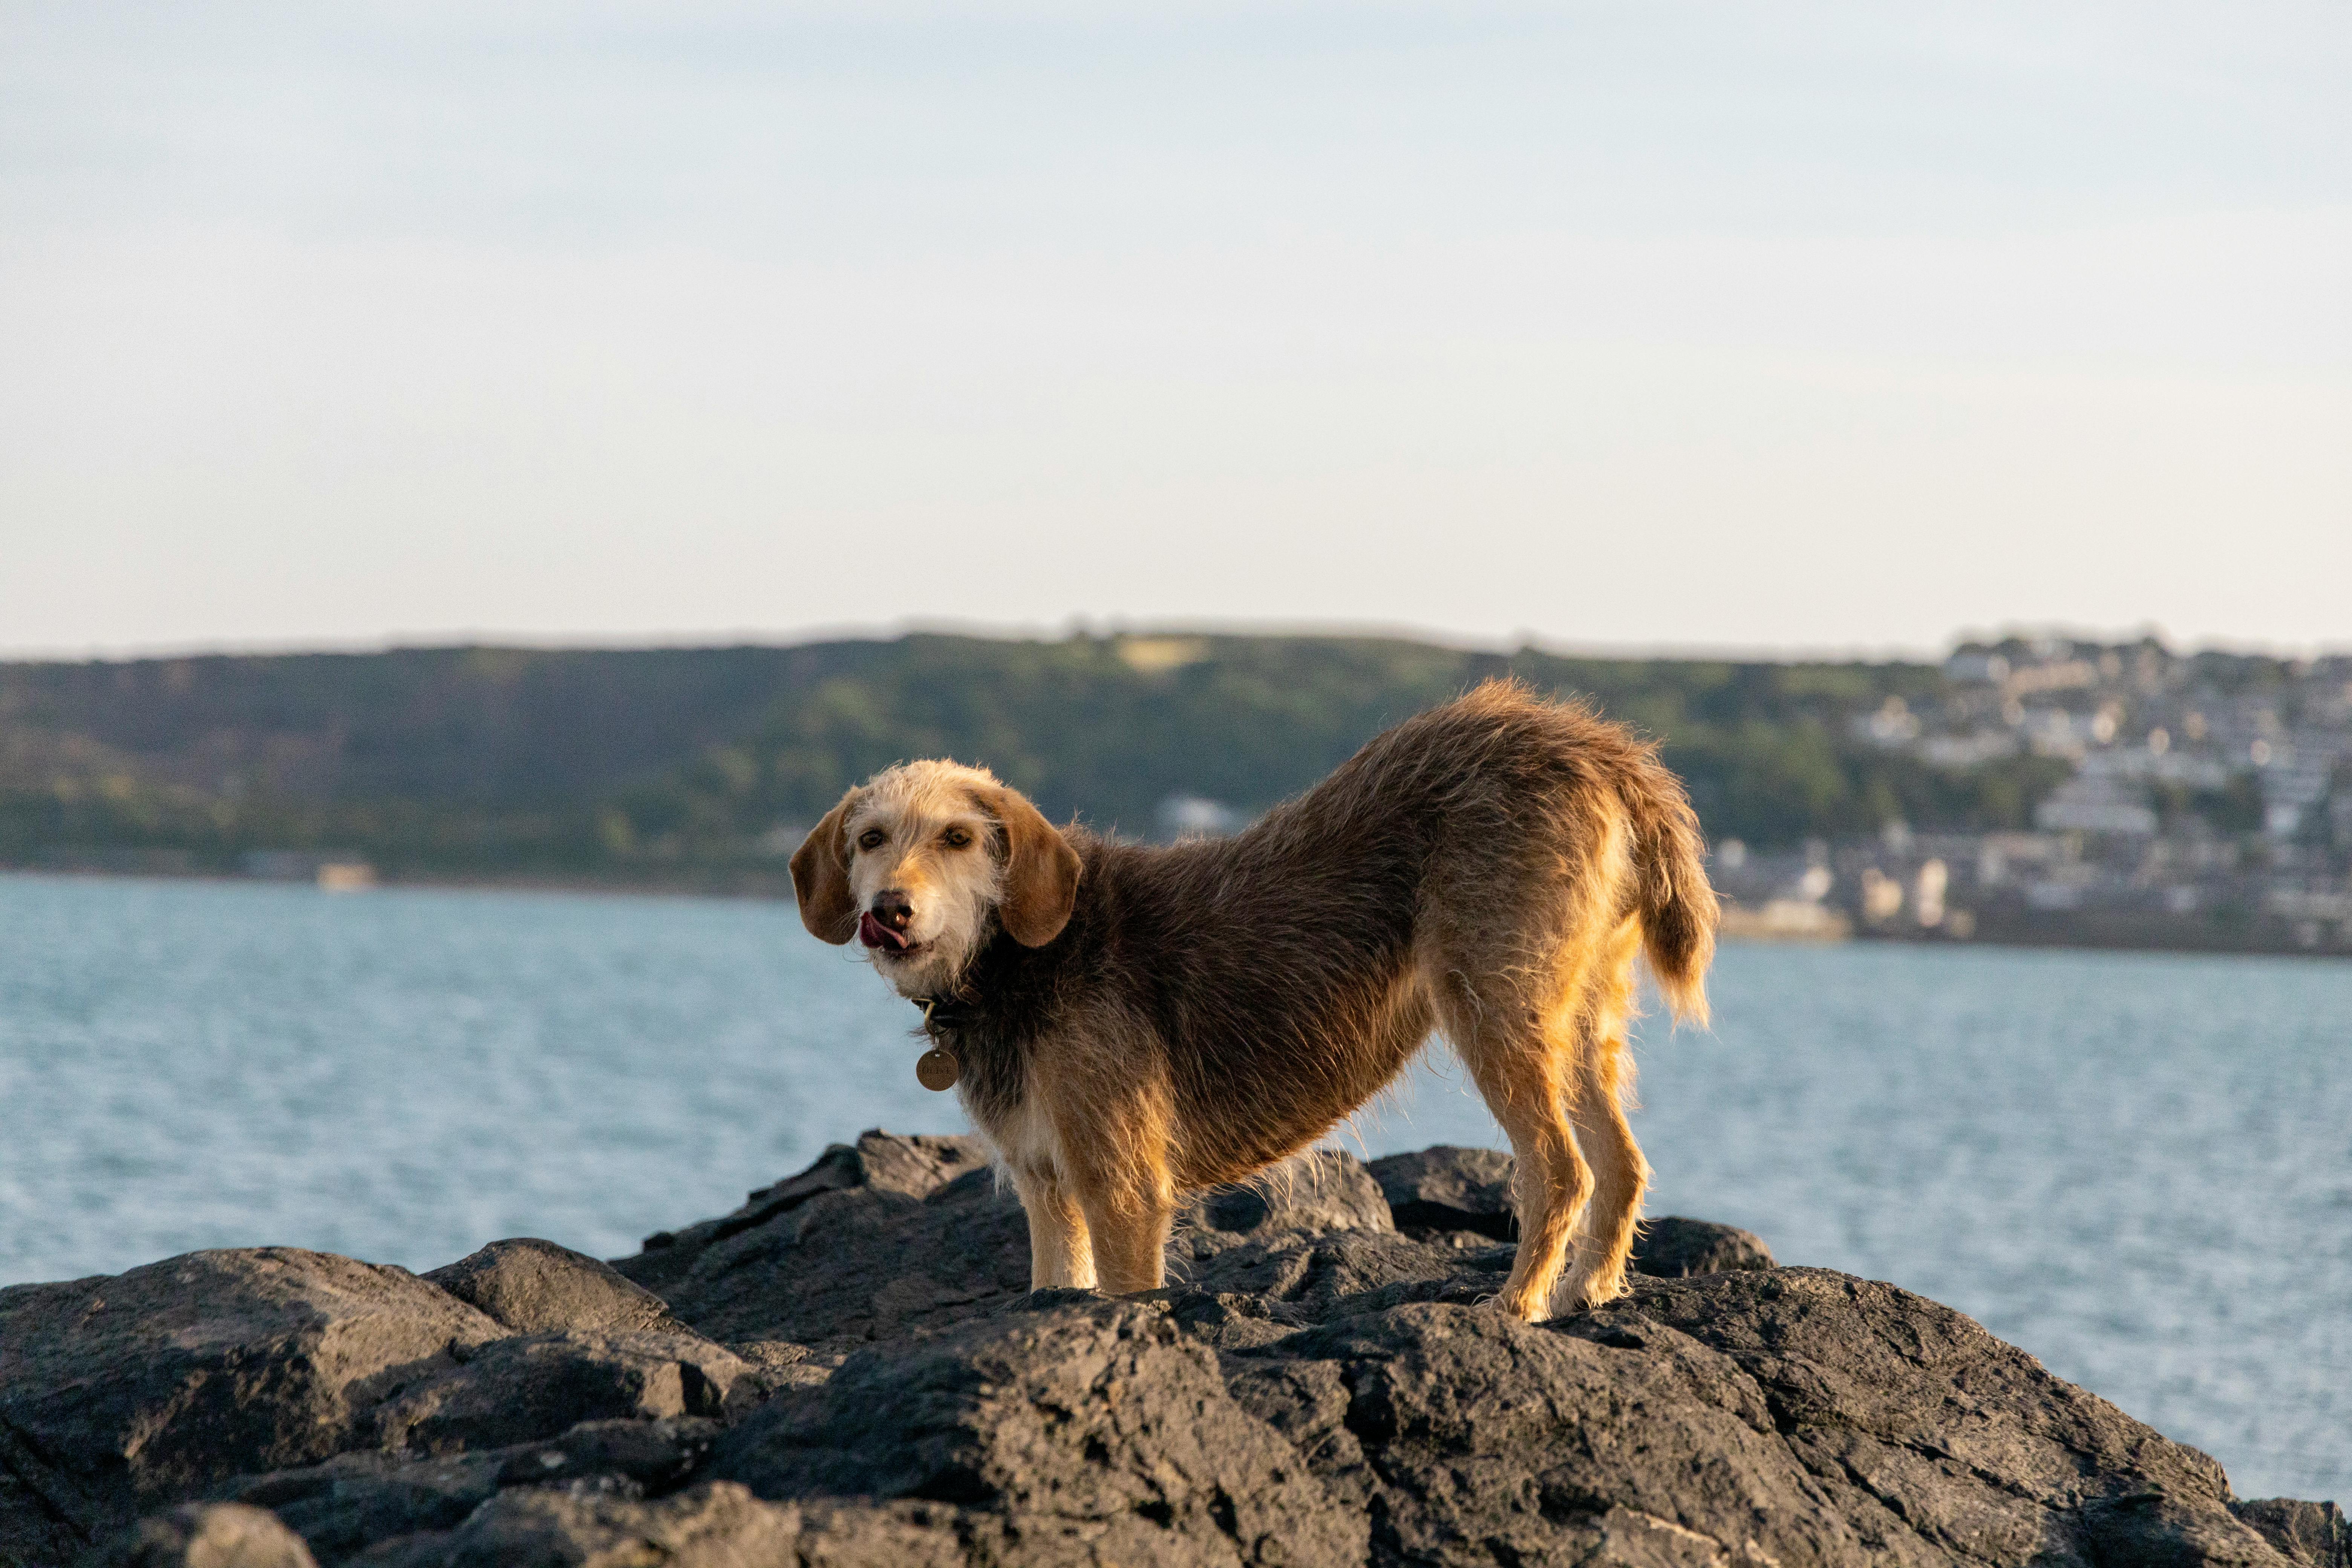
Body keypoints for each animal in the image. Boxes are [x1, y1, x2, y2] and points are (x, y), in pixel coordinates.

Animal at [790, 681, 1712, 1316]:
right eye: (870, 839)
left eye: (957, 838)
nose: (889, 911)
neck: (1013, 956)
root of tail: (1594, 744)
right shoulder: (1048, 1187)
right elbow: (1058, 1284)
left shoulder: (1122, 1187)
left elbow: (1126, 1289)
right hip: (1578, 1015)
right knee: (1623, 1165)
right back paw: (1589, 1294)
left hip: (1493, 1004)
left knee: (1560, 1169)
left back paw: (1516, 1306)